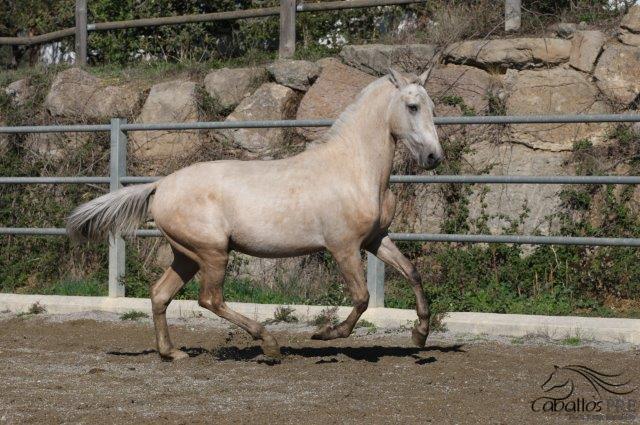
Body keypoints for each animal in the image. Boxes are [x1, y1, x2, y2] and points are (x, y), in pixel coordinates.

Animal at [67, 68, 442, 360]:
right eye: (412, 106)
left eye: (432, 107)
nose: (434, 157)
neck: (354, 169)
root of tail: (160, 186)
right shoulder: (344, 246)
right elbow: (362, 298)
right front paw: (326, 333)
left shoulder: (375, 240)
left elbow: (412, 273)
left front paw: (420, 334)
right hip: (213, 252)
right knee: (210, 299)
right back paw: (269, 344)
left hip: (186, 255)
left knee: (160, 294)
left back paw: (172, 352)